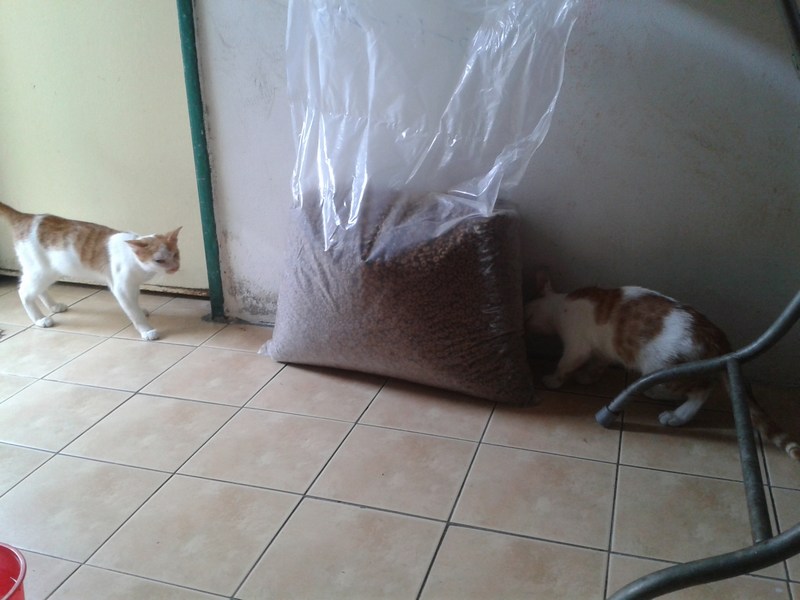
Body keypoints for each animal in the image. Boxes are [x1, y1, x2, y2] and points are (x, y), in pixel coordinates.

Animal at [0, 201, 181, 341]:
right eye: (159, 260)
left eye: (175, 254)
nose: (175, 267)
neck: (139, 265)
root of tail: (25, 216)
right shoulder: (121, 288)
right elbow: (133, 311)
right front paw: (146, 329)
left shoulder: (133, 284)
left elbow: (135, 302)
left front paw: (140, 309)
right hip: (40, 271)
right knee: (24, 292)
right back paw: (40, 319)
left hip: (48, 271)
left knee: (38, 290)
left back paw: (53, 306)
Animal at [524, 272, 800, 461]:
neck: (560, 305)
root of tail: (717, 337)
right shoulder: (604, 350)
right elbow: (599, 363)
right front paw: (588, 377)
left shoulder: (576, 346)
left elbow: (565, 364)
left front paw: (553, 379)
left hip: (663, 366)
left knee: (702, 390)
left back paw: (677, 413)